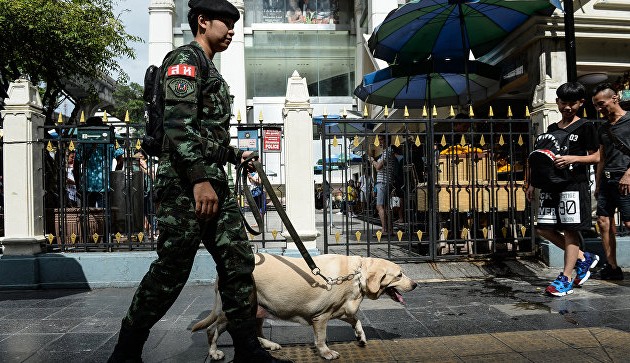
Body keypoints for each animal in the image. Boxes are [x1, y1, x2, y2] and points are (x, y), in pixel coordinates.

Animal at [193, 253, 420, 362]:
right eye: (399, 275)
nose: (416, 284)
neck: (355, 275)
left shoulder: (342, 310)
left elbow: (356, 320)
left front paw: (361, 336)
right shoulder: (321, 317)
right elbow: (320, 338)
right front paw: (326, 353)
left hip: (257, 307)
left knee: (254, 330)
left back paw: (269, 345)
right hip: (233, 310)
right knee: (212, 329)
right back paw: (214, 353)